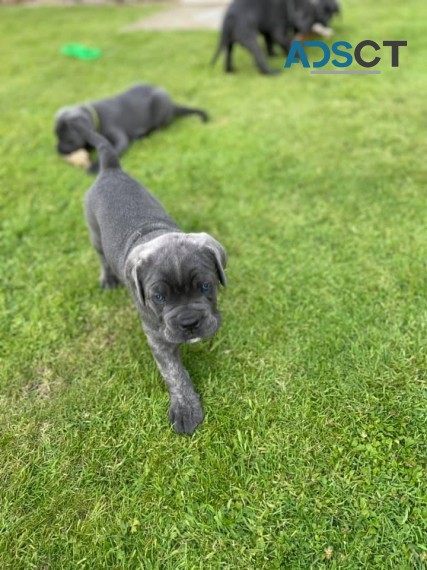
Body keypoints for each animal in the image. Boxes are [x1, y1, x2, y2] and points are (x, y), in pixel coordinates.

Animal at [55, 81, 209, 172]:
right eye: (56, 136)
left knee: (160, 127)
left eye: (69, 140)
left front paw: (94, 166)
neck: (95, 116)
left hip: (160, 104)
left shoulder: (120, 138)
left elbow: (114, 149)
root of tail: (173, 104)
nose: (58, 150)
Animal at [81, 126, 227, 432]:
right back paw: (107, 279)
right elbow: (175, 374)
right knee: (101, 257)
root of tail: (110, 169)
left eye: (206, 286)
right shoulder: (157, 337)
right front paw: (186, 409)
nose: (189, 322)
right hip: (95, 234)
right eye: (158, 298)